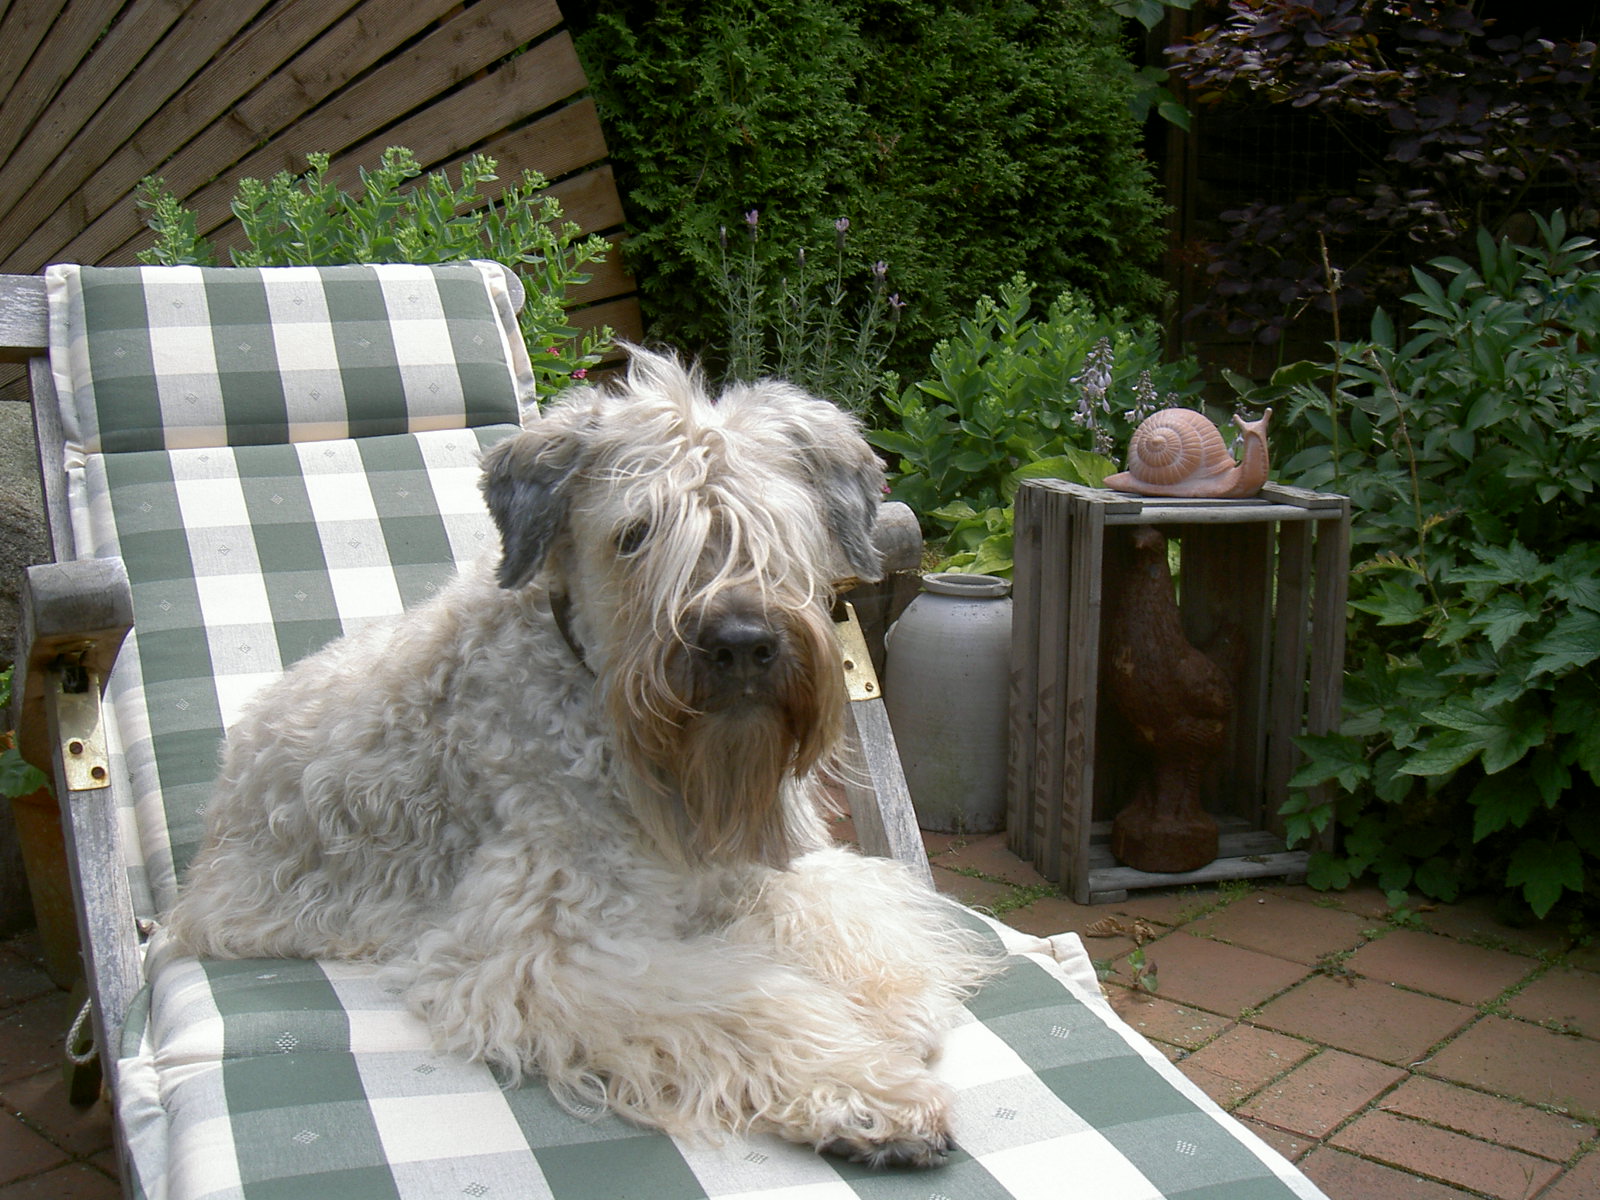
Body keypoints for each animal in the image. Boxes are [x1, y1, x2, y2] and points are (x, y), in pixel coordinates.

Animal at [172, 350, 998, 1177]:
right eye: (635, 534)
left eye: (778, 526)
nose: (741, 644)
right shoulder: (555, 947)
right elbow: (750, 1003)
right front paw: (872, 1094)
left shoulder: (761, 870)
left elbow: (850, 911)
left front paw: (895, 1002)